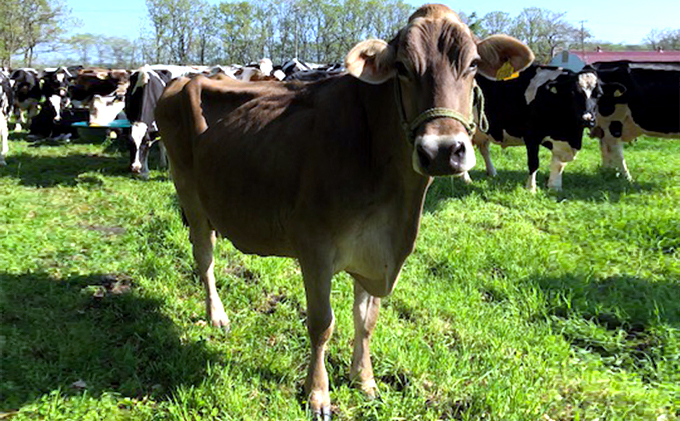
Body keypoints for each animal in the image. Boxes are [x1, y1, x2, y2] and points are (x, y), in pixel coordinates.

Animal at [157, 4, 532, 418]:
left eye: (473, 64)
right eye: (402, 67)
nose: (442, 150)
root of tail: (190, 77)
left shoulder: (375, 251)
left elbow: (366, 321)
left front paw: (364, 380)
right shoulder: (315, 248)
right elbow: (322, 323)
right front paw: (318, 394)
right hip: (189, 193)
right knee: (203, 257)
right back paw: (217, 315)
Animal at [470, 64, 604, 190]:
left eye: (598, 95)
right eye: (573, 93)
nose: (587, 119)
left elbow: (559, 165)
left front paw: (555, 187)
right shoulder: (531, 136)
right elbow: (534, 163)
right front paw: (531, 188)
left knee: (484, 149)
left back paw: (492, 172)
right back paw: (467, 179)